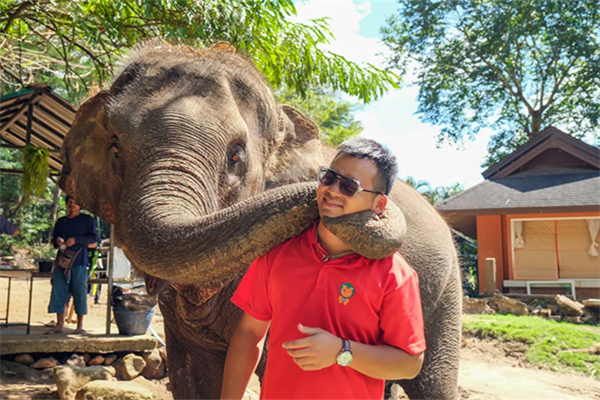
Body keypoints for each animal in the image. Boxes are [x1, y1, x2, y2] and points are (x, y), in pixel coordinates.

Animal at [59, 43, 460, 400]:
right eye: (115, 148)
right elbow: (192, 377)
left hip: (445, 293)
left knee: (431, 382)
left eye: (236, 156)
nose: (372, 211)